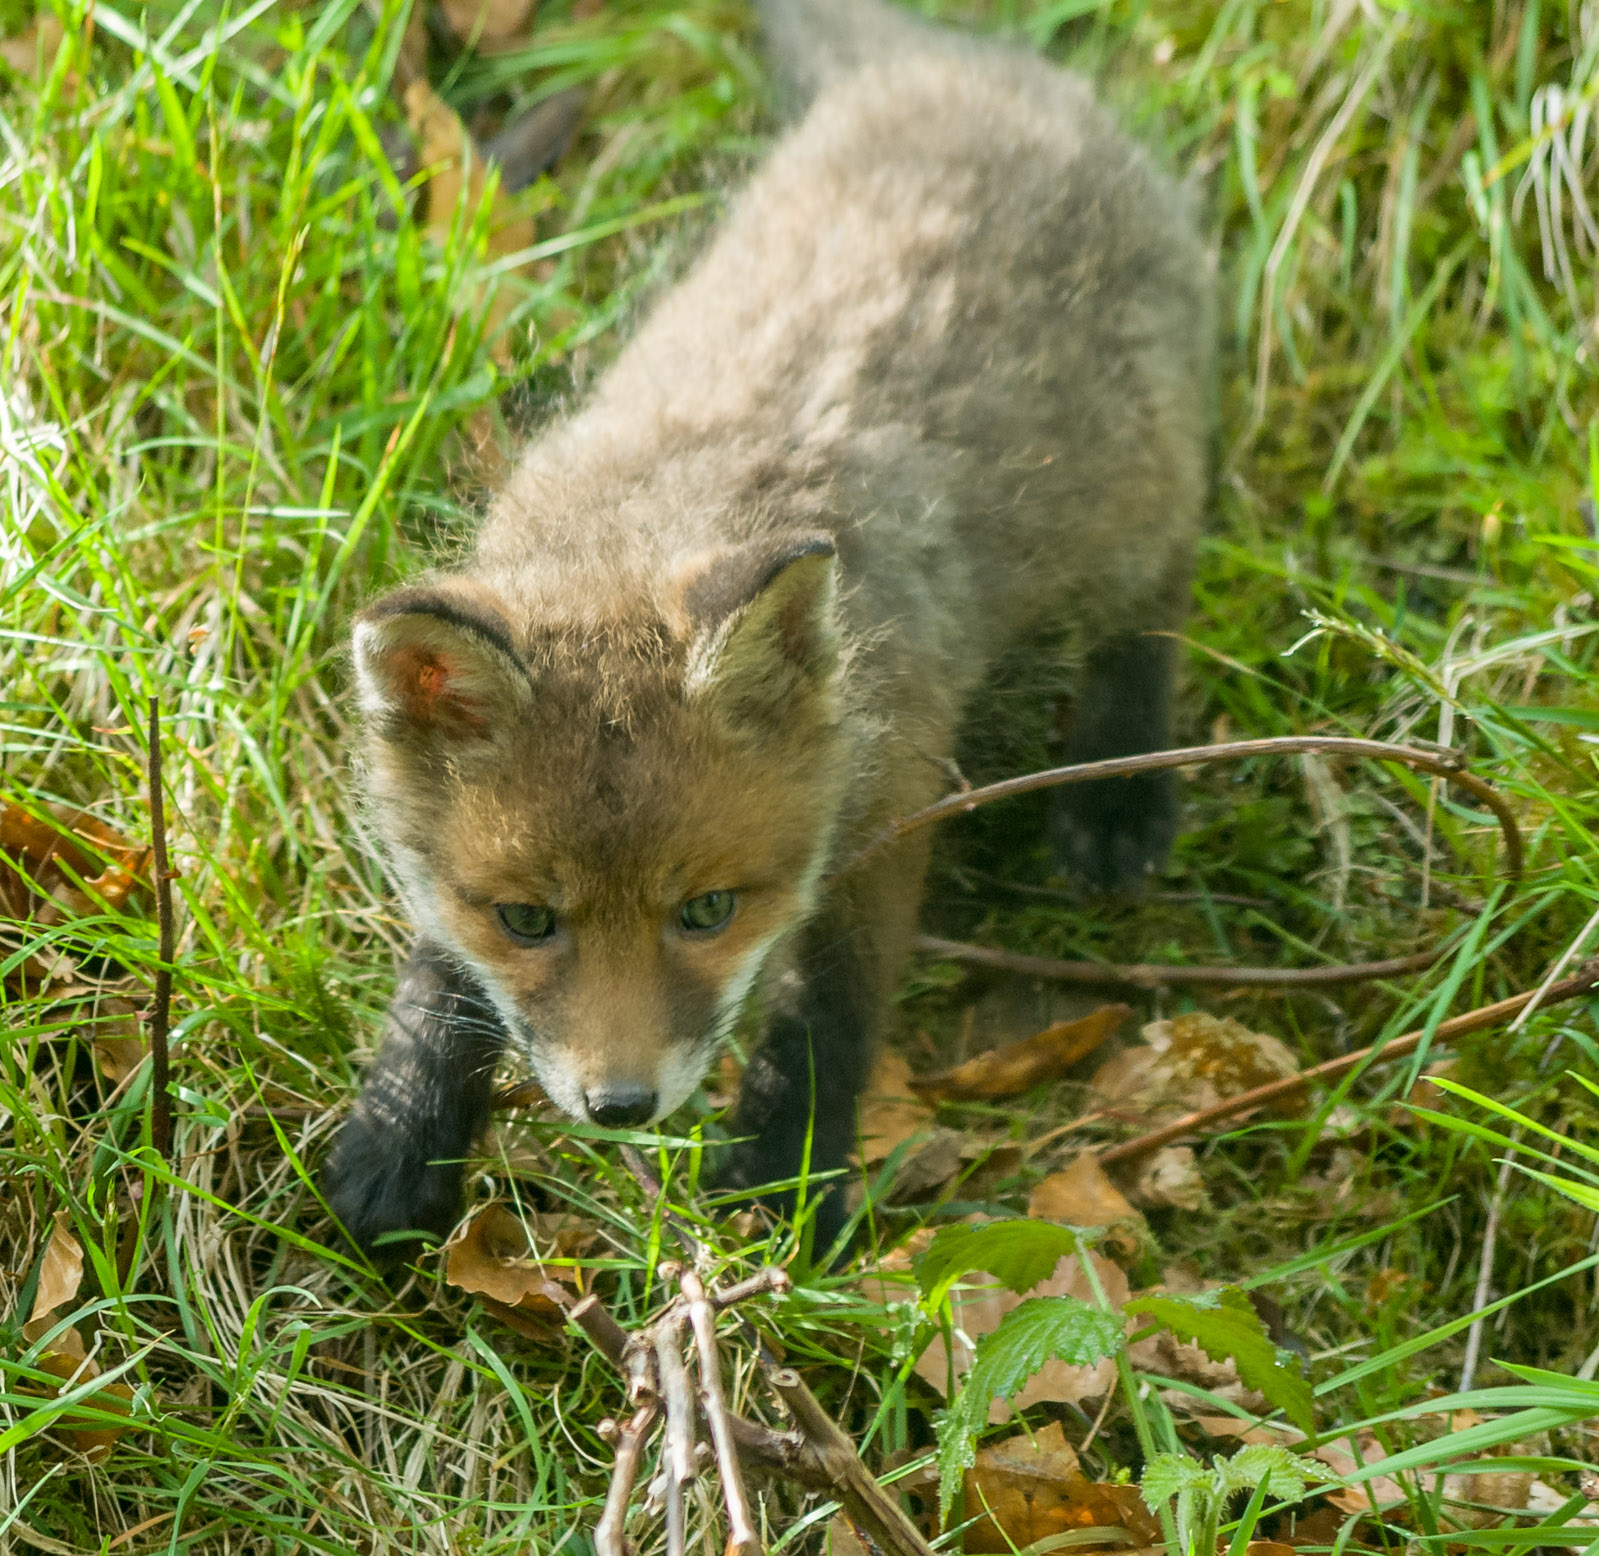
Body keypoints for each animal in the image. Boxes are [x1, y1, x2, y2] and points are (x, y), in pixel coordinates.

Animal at [324, 0, 1214, 1256]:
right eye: (526, 917)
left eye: (706, 910)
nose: (620, 1104)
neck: (651, 529)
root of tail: (949, 68)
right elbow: (439, 982)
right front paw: (400, 1133)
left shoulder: (883, 798)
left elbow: (822, 1014)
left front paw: (785, 1178)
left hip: (1130, 496)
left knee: (1154, 601)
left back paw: (1120, 788)